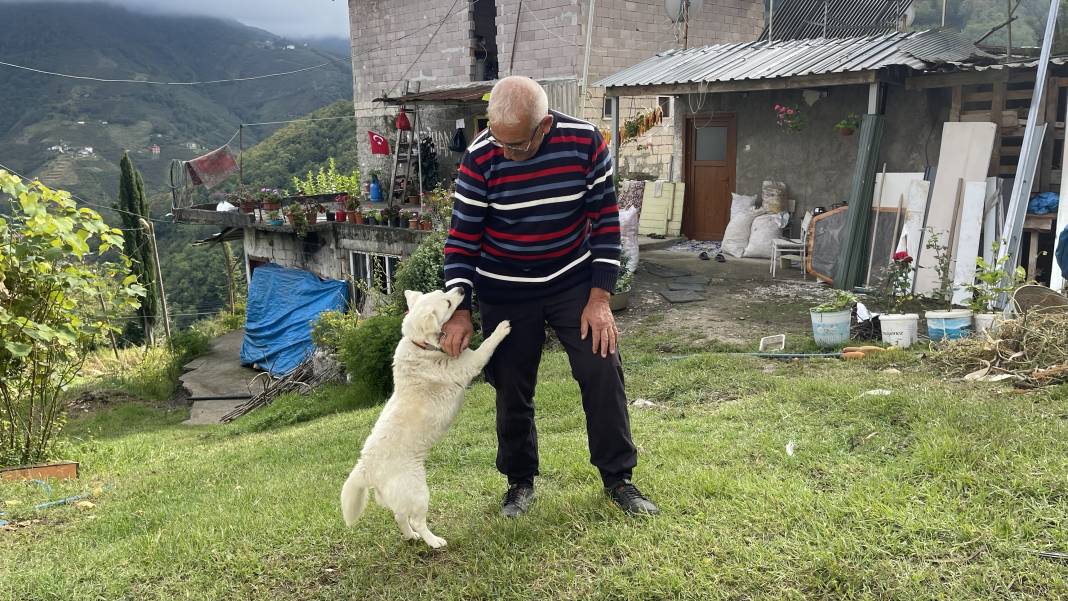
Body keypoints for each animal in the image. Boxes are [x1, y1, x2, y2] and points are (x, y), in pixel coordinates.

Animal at [339, 288, 510, 546]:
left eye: (443, 292)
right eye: (448, 302)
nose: (461, 289)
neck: (420, 345)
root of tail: (365, 467)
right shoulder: (470, 362)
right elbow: (487, 345)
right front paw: (501, 328)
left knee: (400, 517)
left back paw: (412, 536)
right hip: (418, 491)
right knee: (417, 519)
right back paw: (434, 541)